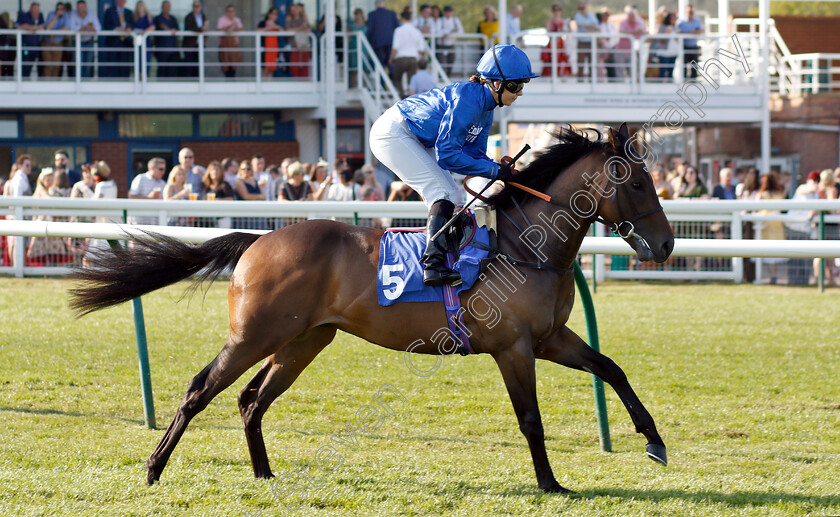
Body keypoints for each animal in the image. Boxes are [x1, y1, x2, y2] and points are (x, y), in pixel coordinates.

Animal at [72, 122, 676, 492]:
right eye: (637, 181)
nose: (668, 244)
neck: (525, 245)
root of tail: (259, 240)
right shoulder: (514, 347)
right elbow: (530, 419)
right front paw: (550, 483)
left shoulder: (550, 339)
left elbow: (611, 368)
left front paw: (654, 441)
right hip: (254, 335)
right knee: (201, 389)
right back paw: (153, 467)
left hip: (302, 340)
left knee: (251, 399)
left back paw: (264, 475)